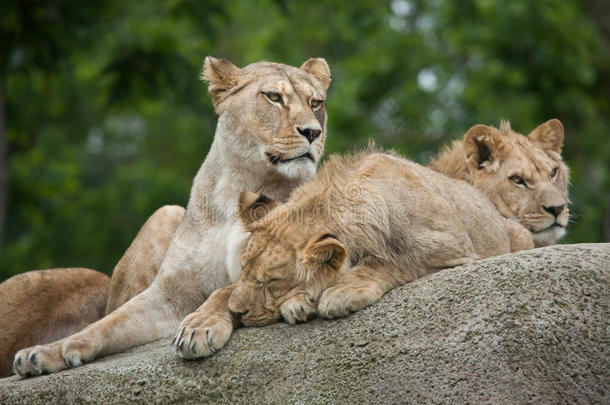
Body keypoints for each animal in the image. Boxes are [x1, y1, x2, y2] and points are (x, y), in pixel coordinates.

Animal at [11, 56, 330, 376]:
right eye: (274, 97)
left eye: (316, 103)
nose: (313, 132)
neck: (239, 185)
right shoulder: (169, 294)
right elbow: (106, 324)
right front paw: (44, 353)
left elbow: (226, 290)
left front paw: (198, 327)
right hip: (165, 212)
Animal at [171, 148, 532, 356]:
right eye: (244, 268)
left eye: (272, 282)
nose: (239, 311)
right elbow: (223, 289)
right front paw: (198, 327)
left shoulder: (450, 244)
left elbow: (391, 260)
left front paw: (339, 292)